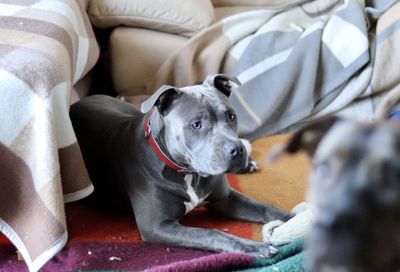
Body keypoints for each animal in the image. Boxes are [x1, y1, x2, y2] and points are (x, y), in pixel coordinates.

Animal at [70, 74, 290, 258]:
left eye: (231, 116)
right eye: (196, 124)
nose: (237, 150)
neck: (188, 173)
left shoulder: (225, 199)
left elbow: (266, 208)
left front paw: (292, 218)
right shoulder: (157, 226)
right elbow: (212, 234)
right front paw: (254, 246)